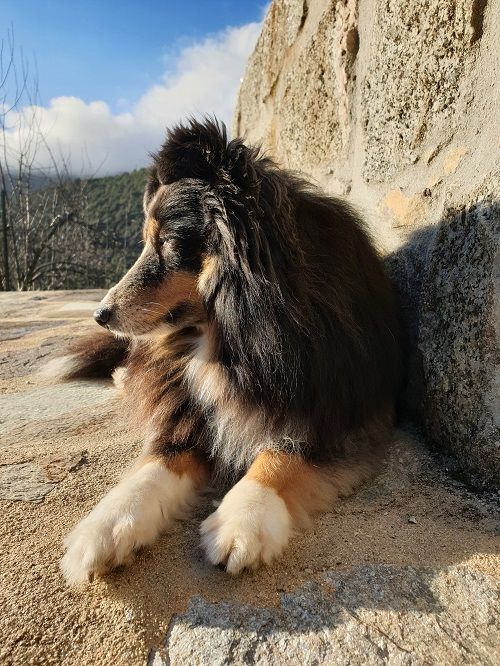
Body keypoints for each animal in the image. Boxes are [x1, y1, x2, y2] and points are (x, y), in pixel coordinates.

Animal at [46, 118, 402, 580]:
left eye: (167, 244)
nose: (100, 314)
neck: (236, 335)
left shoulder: (340, 408)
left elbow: (284, 452)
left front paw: (241, 521)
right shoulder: (187, 406)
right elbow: (161, 457)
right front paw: (102, 530)